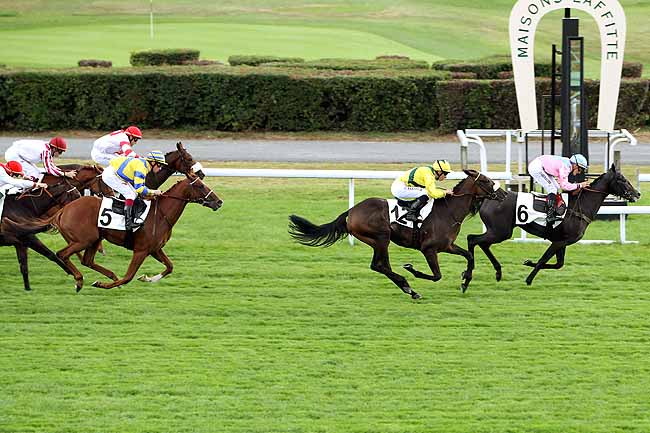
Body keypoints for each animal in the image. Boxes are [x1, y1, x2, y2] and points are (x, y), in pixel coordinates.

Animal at [1, 174, 223, 292]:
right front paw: (105, 284)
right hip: (84, 239)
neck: (160, 214)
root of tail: (64, 209)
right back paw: (79, 280)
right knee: (62, 254)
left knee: (86, 260)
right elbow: (128, 277)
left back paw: (102, 275)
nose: (219, 202)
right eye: (200, 185)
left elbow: (169, 267)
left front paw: (147, 278)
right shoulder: (141, 250)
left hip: (93, 239)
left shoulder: (155, 249)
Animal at [288, 170, 502, 298]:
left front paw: (465, 280)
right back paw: (408, 285)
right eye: (485, 181)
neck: (449, 211)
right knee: (378, 265)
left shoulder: (447, 246)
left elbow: (468, 256)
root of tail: (351, 211)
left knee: (382, 266)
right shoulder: (428, 249)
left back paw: (408, 289)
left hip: (379, 241)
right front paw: (411, 269)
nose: (503, 194)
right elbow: (436, 275)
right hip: (381, 238)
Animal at [464, 164, 640, 288]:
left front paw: (528, 263)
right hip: (500, 232)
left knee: (482, 243)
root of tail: (489, 198)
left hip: (497, 231)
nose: (637, 194)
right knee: (473, 239)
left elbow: (558, 264)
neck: (579, 206)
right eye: (622, 180)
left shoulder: (563, 241)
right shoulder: (559, 242)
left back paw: (496, 272)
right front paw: (529, 279)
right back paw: (468, 276)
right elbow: (544, 259)